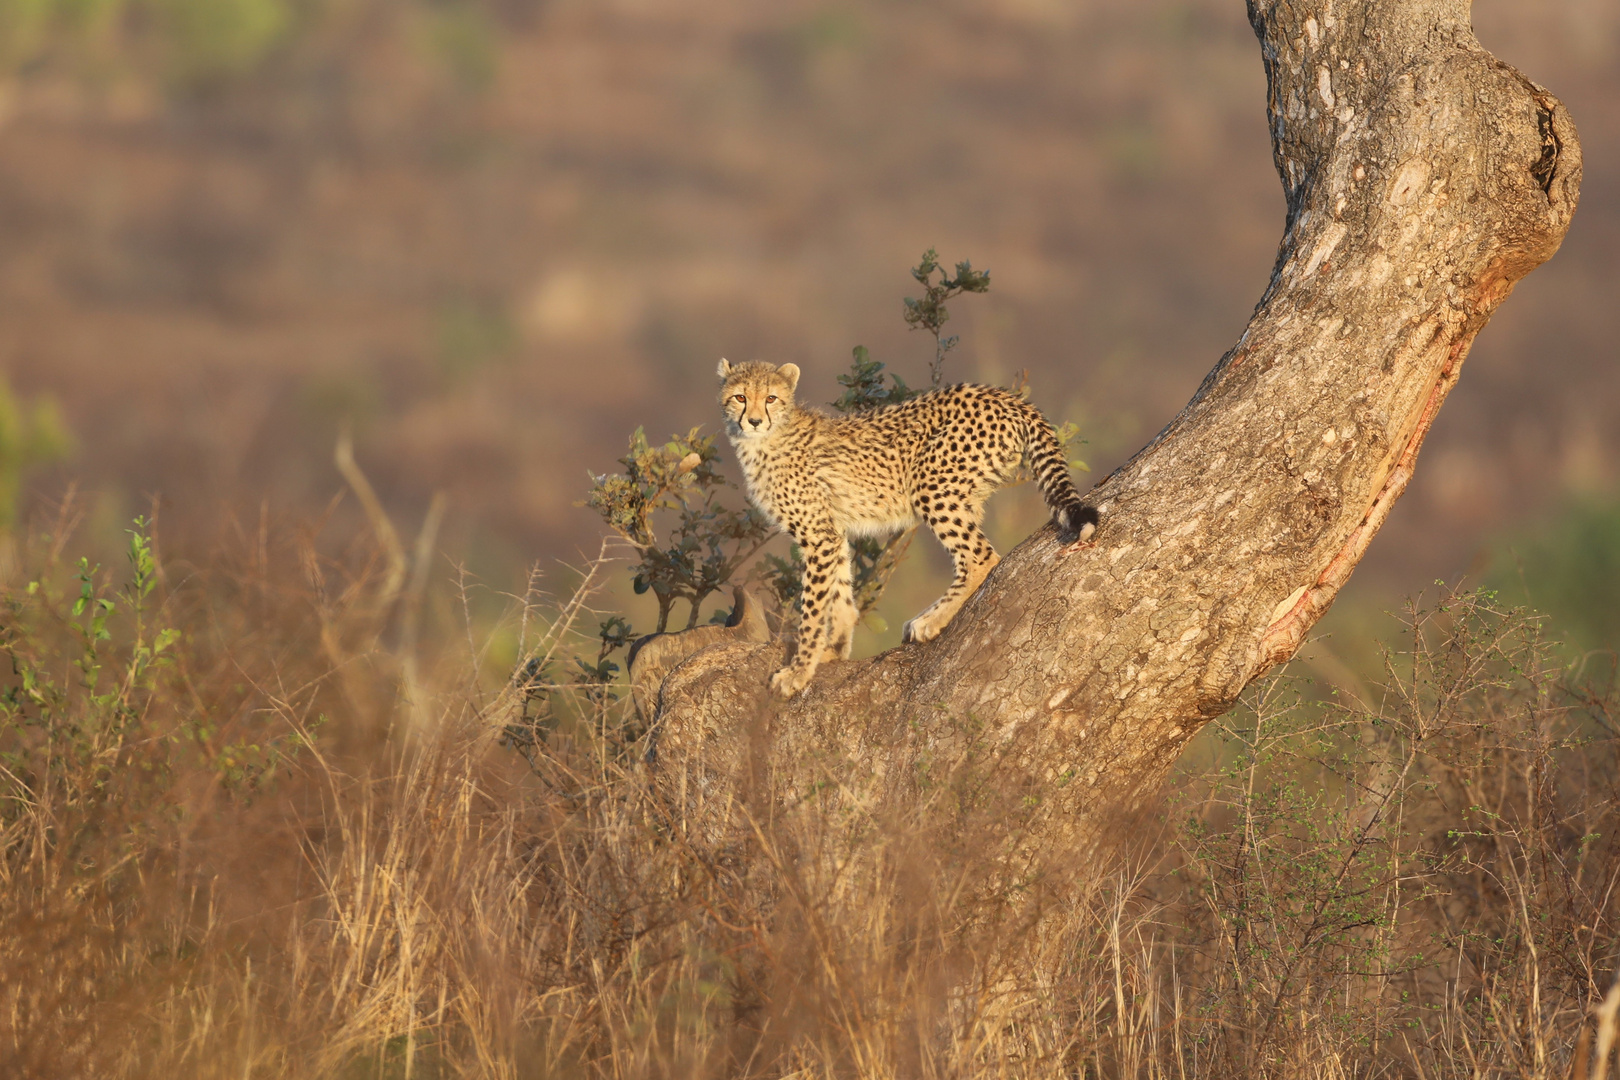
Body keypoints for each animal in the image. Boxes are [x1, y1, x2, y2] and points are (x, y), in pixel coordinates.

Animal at [722, 361, 1101, 702]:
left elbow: (814, 610)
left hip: (931, 484)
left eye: (770, 398)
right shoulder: (832, 532)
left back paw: (930, 620)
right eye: (740, 397)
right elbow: (841, 596)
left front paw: (798, 672)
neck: (765, 439)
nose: (753, 420)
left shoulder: (818, 535)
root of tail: (1003, 395)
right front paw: (833, 652)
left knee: (980, 556)